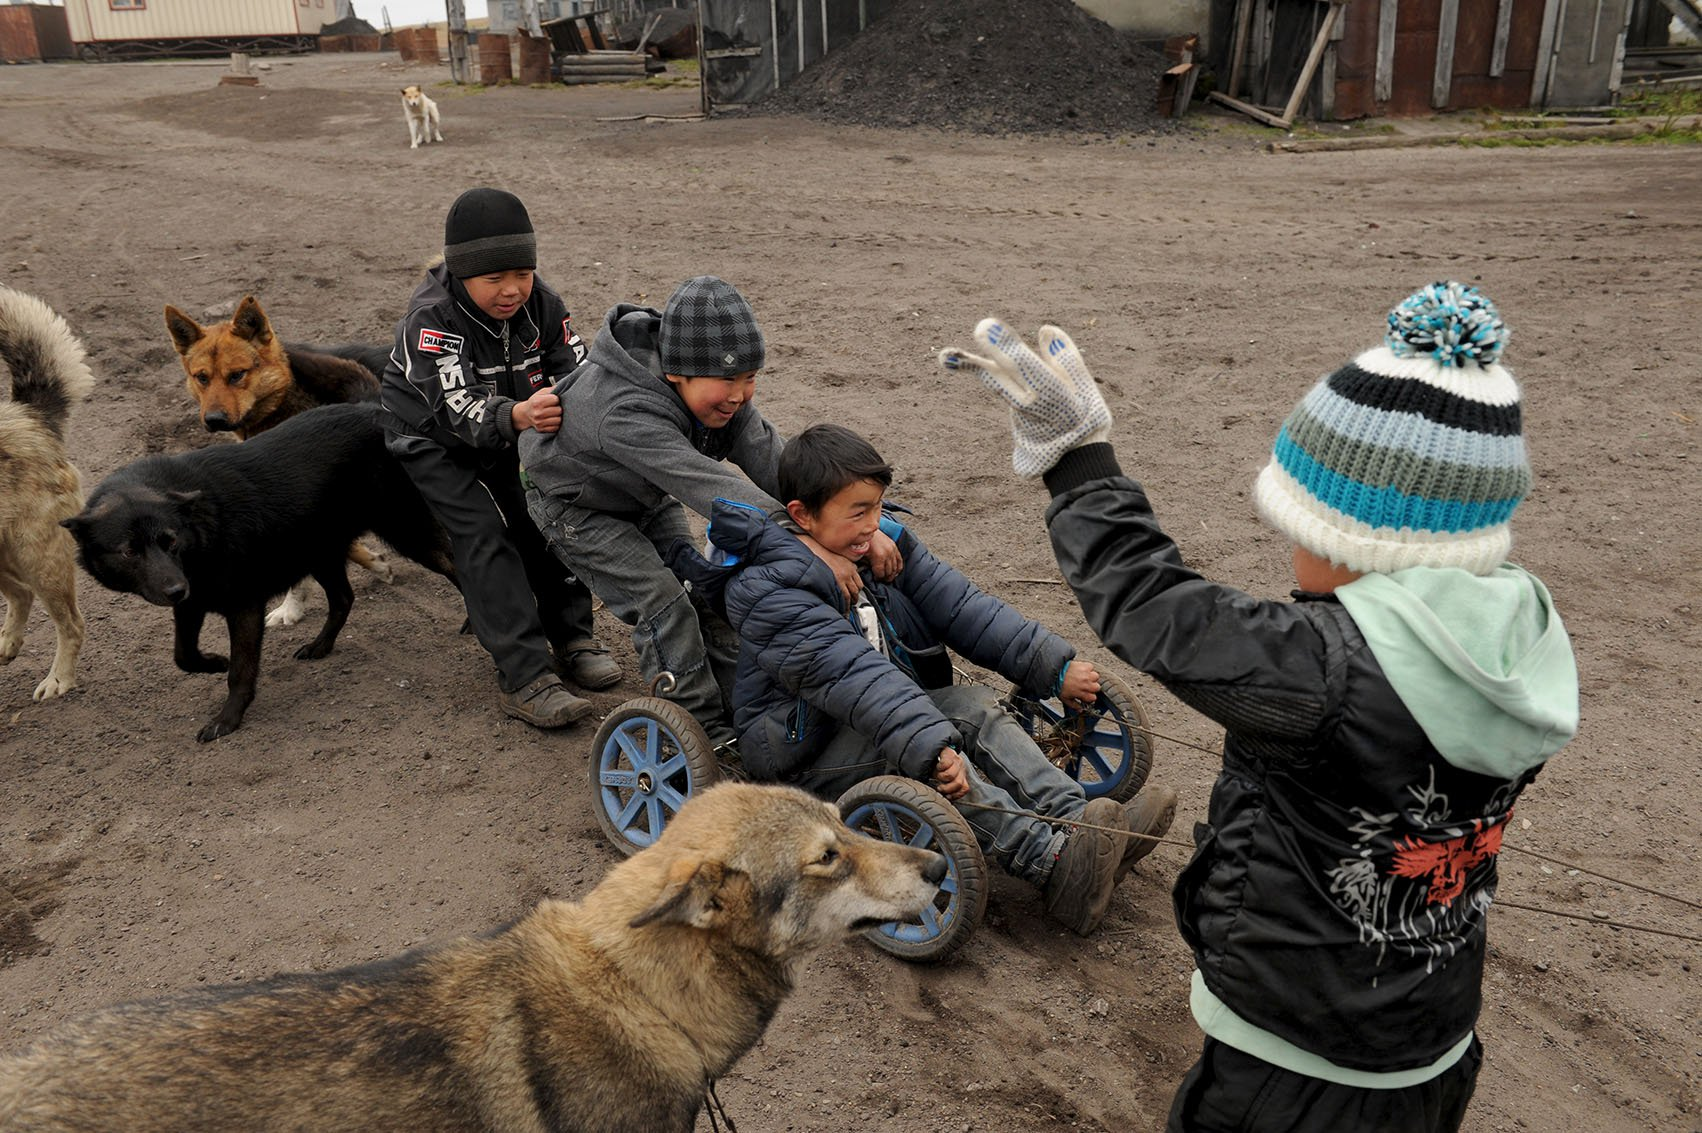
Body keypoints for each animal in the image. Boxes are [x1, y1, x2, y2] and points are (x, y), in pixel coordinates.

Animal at [65, 406, 456, 741]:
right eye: (130, 551)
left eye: (170, 541)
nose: (176, 589)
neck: (201, 530)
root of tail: (380, 412)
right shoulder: (191, 604)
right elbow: (183, 655)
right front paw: (214, 662)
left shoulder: (244, 607)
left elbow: (240, 671)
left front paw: (227, 720)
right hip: (319, 552)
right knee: (344, 598)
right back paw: (320, 646)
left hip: (407, 532)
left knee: (453, 563)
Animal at [170, 292, 401, 626]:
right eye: (202, 378)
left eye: (237, 375)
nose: (213, 420)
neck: (287, 392)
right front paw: (379, 564)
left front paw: (291, 609)